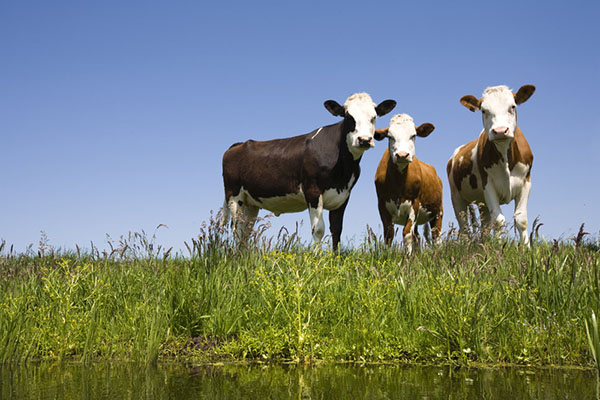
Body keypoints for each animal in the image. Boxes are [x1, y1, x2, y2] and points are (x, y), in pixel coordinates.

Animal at [223, 93, 396, 250]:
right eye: (348, 116)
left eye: (374, 117)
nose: (365, 140)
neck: (343, 168)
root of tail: (239, 145)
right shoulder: (312, 191)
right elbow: (318, 230)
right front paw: (317, 258)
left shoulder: (344, 195)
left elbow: (337, 230)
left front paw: (335, 258)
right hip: (234, 195)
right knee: (237, 229)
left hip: (251, 202)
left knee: (246, 231)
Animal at [372, 112, 442, 253]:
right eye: (390, 136)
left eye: (413, 135)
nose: (402, 155)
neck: (398, 183)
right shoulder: (381, 204)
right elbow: (389, 234)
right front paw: (387, 255)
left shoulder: (414, 203)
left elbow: (407, 233)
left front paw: (408, 257)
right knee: (418, 236)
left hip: (438, 211)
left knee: (436, 235)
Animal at [446, 85, 536, 244]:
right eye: (483, 110)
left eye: (512, 106)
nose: (500, 131)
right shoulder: (488, 185)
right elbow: (498, 221)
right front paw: (499, 246)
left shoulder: (526, 182)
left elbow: (521, 219)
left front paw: (526, 246)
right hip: (456, 196)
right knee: (464, 226)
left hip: (482, 203)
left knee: (485, 225)